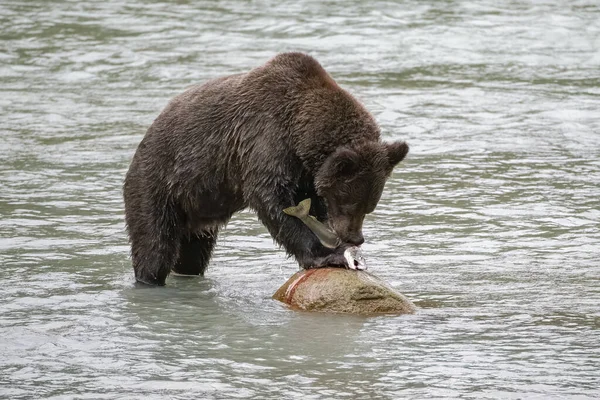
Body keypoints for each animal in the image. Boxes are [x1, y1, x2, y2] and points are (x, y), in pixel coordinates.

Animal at [124, 53, 410, 286]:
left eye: (369, 206)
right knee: (155, 244)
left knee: (193, 255)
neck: (299, 134)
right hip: (160, 184)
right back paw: (150, 278)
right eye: (350, 204)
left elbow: (310, 204)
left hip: (197, 210)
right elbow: (271, 198)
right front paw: (325, 255)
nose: (355, 238)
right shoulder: (265, 138)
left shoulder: (306, 172)